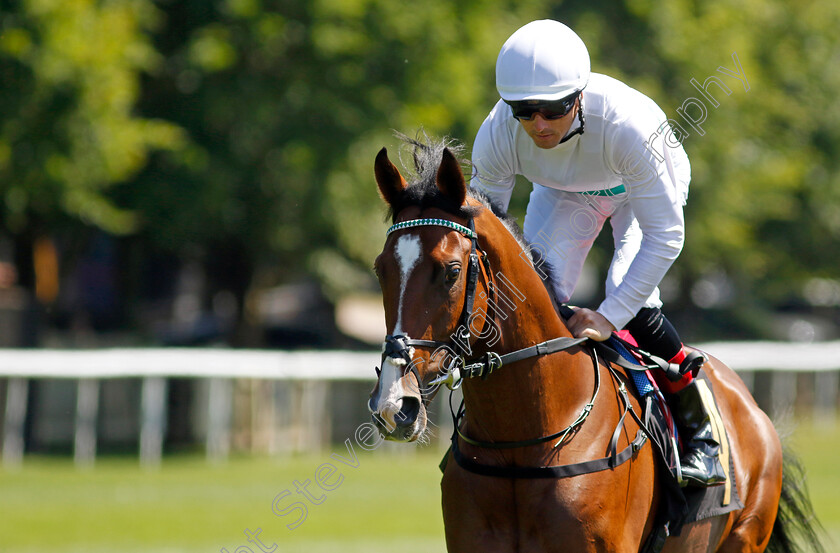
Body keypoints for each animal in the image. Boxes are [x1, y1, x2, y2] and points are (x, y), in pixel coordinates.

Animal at [366, 135, 820, 552]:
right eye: (380, 268)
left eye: (451, 271)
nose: (394, 405)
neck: (522, 444)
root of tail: (752, 406)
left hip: (745, 535)